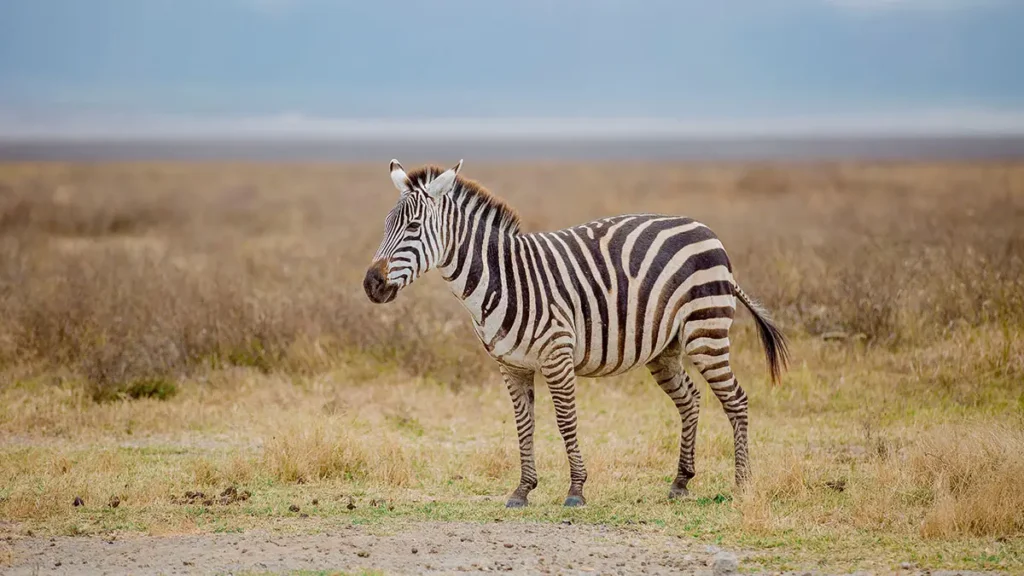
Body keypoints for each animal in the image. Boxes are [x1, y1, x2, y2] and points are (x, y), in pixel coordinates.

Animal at [364, 159, 789, 508]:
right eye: (385, 226)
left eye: (413, 227)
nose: (371, 284)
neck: (501, 278)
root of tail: (706, 230)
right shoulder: (511, 365)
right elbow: (524, 426)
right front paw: (523, 490)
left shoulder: (557, 355)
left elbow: (566, 421)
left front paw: (576, 490)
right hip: (664, 350)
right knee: (690, 400)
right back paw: (681, 482)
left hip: (707, 332)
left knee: (736, 400)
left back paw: (742, 484)